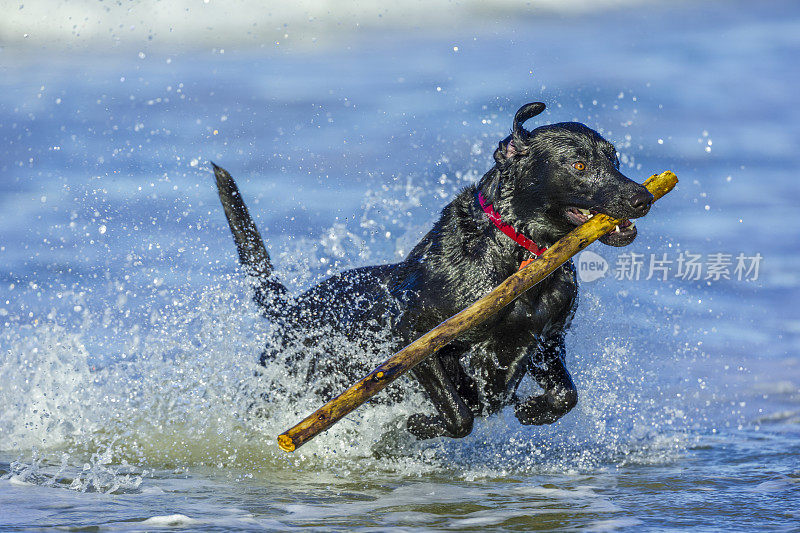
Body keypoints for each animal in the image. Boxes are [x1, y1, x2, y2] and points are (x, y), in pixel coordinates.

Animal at [211, 102, 648, 438]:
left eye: (614, 158)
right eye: (578, 164)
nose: (642, 197)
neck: (519, 256)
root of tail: (290, 309)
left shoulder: (546, 338)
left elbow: (566, 395)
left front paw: (533, 410)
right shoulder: (415, 333)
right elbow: (460, 413)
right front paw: (416, 426)